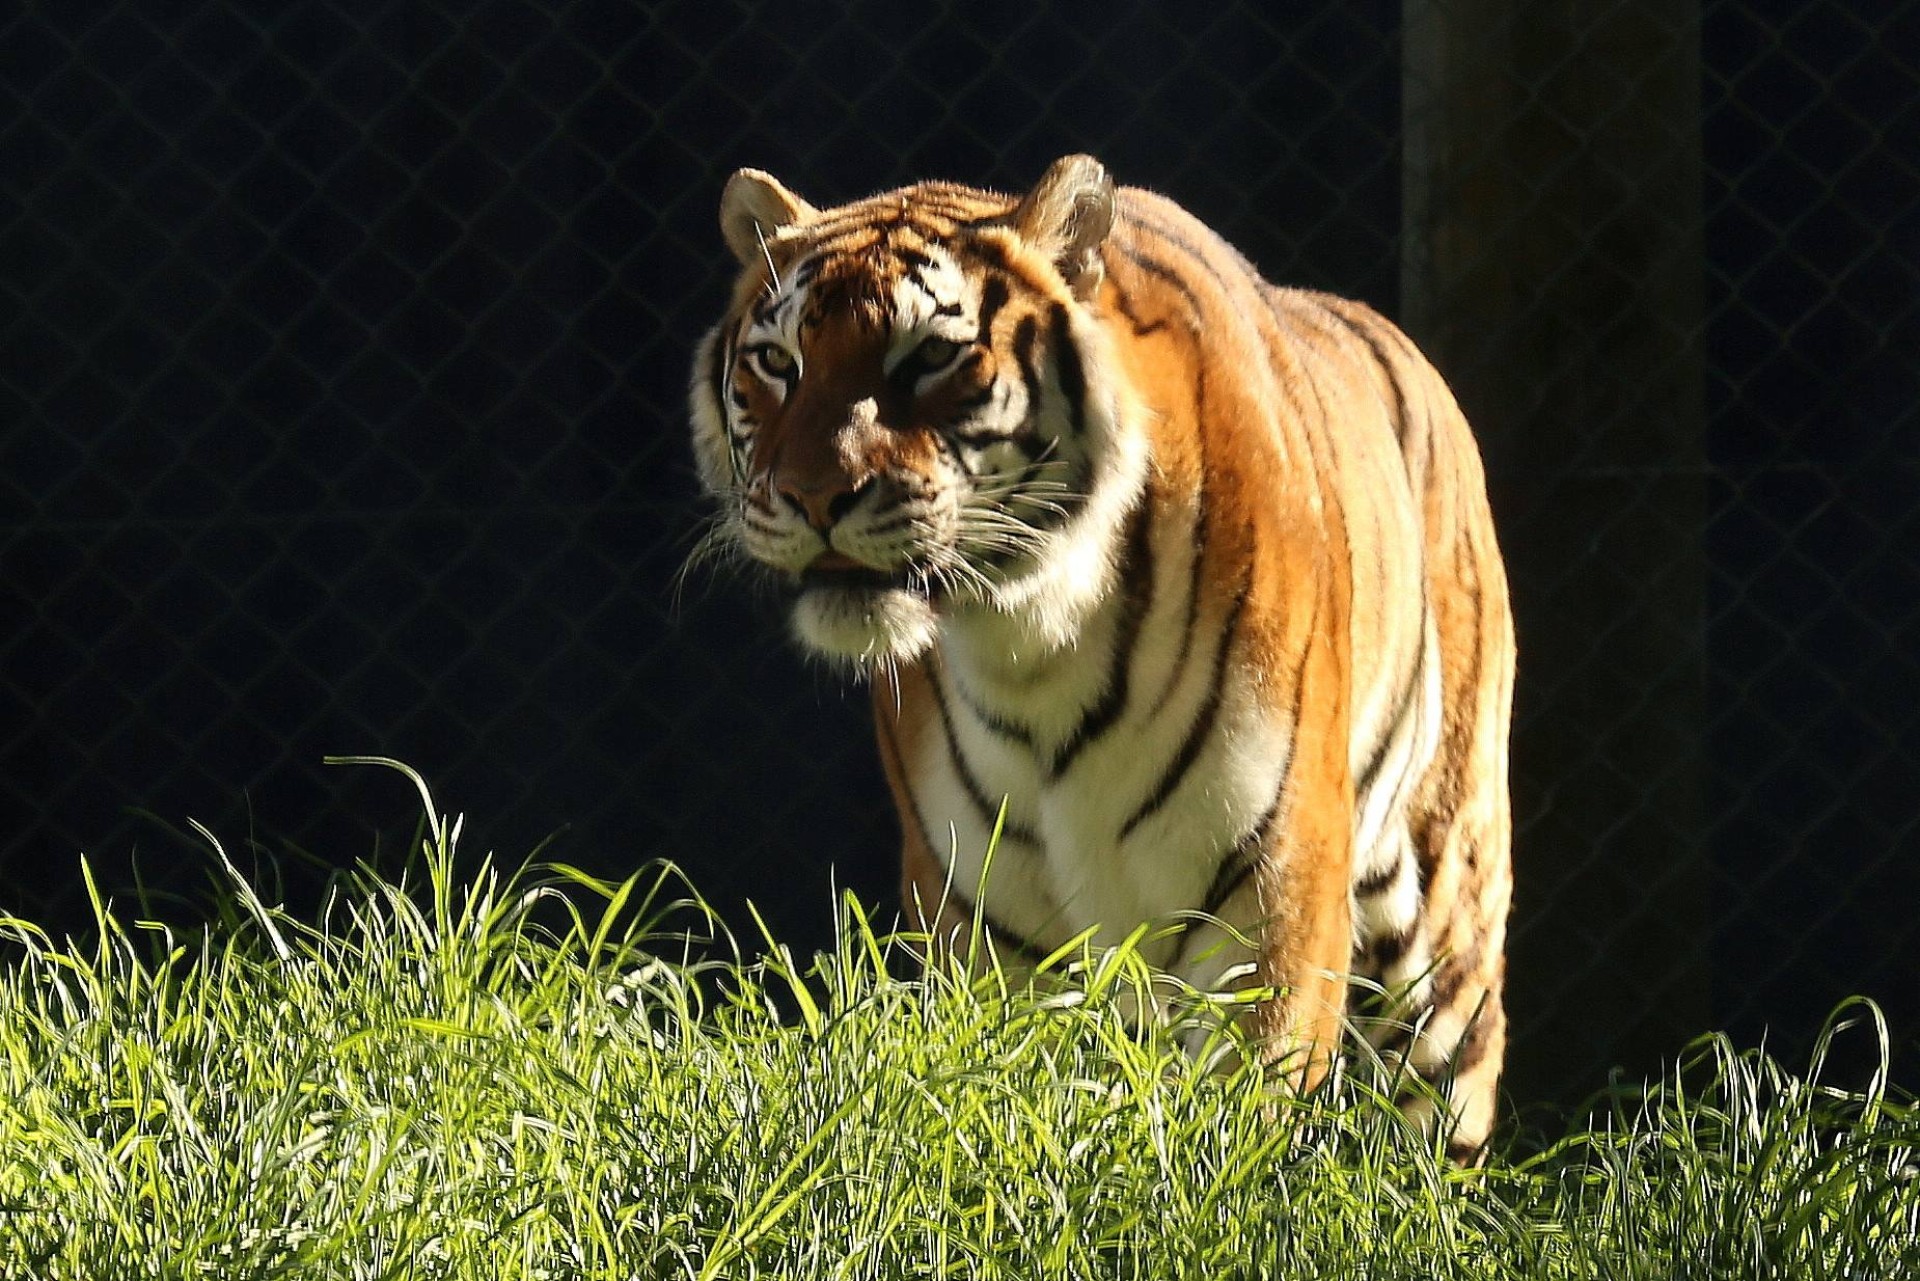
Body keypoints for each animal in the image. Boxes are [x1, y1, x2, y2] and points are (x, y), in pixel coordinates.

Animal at [691, 155, 1512, 1160]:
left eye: (929, 358)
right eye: (777, 363)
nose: (812, 495)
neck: (1031, 640)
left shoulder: (1278, 881)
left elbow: (1239, 1111)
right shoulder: (987, 918)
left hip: (1440, 909)